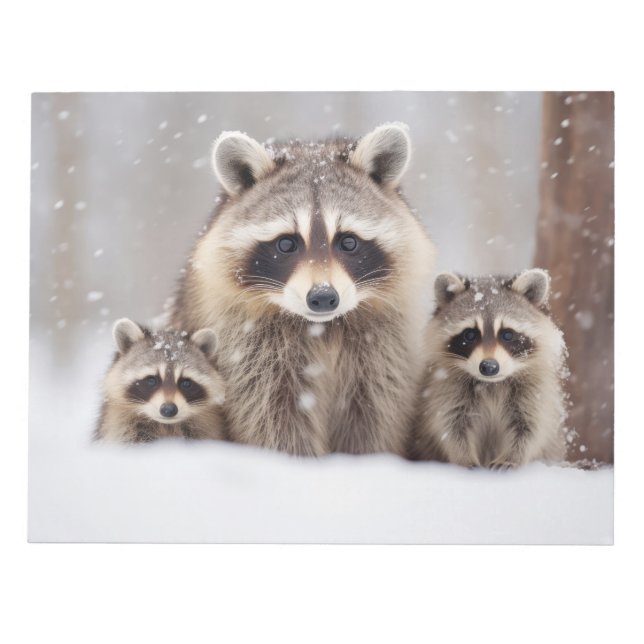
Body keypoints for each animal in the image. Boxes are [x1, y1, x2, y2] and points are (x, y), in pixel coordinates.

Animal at [171, 123, 436, 456]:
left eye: (348, 242)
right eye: (286, 244)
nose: (323, 298)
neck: (323, 328)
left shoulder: (384, 348)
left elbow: (375, 412)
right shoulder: (248, 348)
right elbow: (271, 416)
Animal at [412, 269, 568, 468]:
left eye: (507, 334)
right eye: (470, 335)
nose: (488, 366)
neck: (492, 384)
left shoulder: (535, 391)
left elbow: (530, 427)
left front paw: (511, 457)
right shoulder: (445, 388)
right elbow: (450, 425)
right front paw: (464, 458)